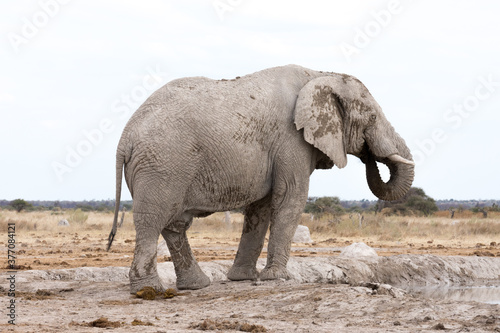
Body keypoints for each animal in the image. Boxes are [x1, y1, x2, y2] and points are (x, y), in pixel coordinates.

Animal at [107, 65, 416, 294]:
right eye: (372, 117)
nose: (367, 155)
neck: (319, 74)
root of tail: (125, 137)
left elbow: (262, 207)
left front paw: (244, 279)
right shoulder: (291, 139)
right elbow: (291, 198)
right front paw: (278, 279)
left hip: (162, 166)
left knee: (174, 225)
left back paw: (196, 286)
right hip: (162, 165)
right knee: (152, 220)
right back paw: (149, 291)